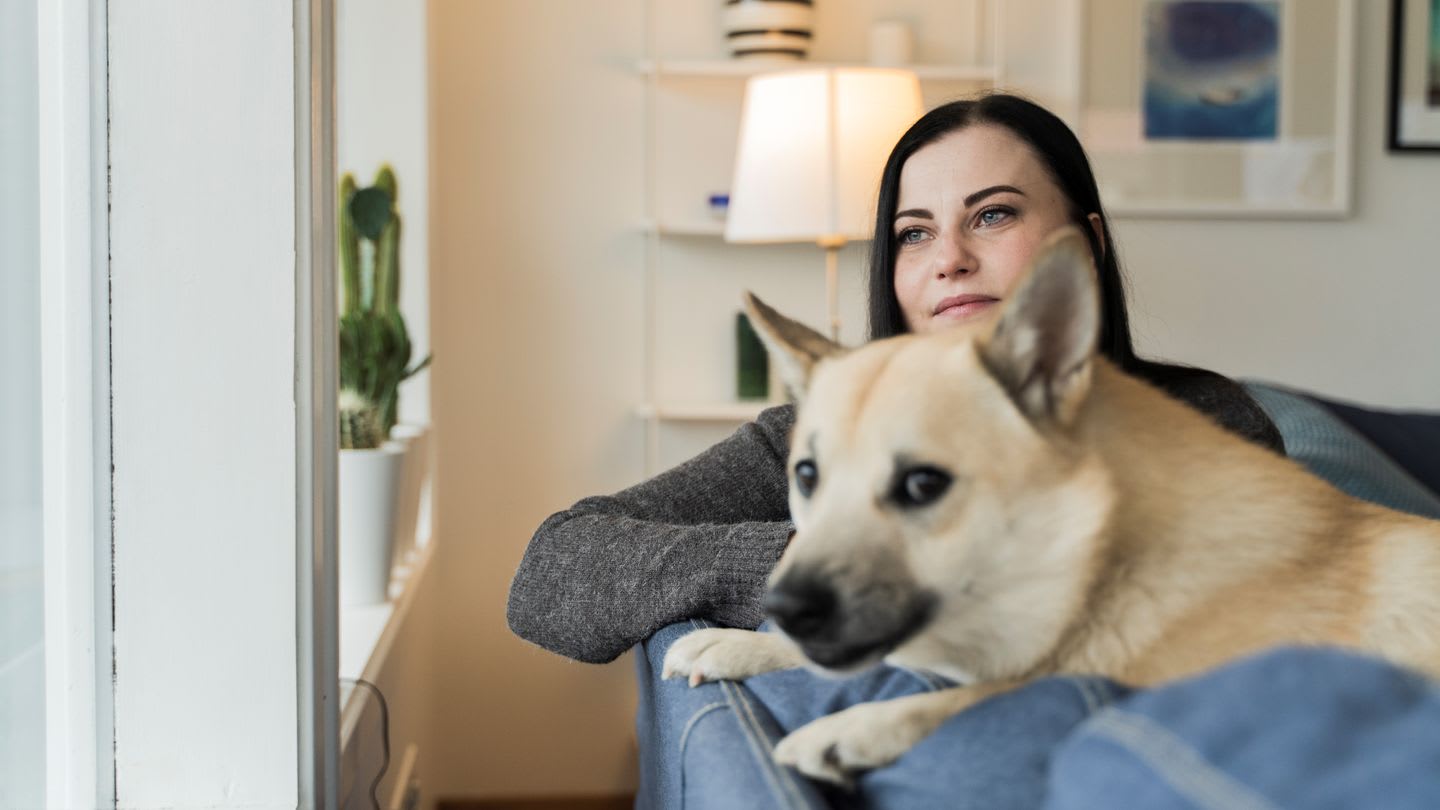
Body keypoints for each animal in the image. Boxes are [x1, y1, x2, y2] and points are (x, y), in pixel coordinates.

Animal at [661, 226, 1440, 786]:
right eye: (808, 475)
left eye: (922, 485)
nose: (784, 607)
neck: (1106, 558)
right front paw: (739, 641)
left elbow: (1000, 691)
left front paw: (853, 728)